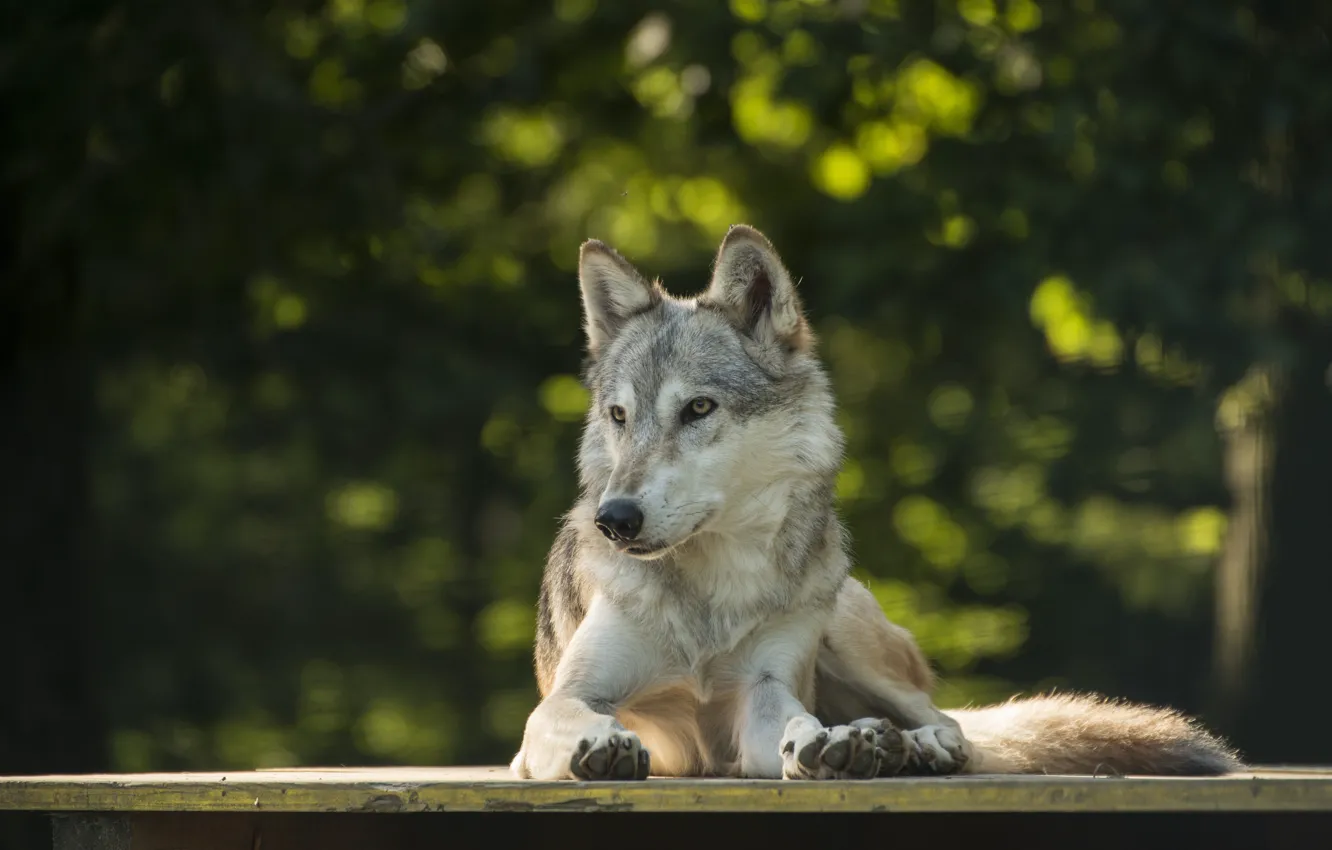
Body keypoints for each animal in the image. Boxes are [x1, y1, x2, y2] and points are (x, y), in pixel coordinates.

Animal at [509, 224, 1243, 781]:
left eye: (697, 409)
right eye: (620, 416)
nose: (614, 520)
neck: (712, 597)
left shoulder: (760, 694)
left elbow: (797, 719)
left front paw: (828, 746)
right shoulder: (564, 704)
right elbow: (571, 717)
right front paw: (601, 744)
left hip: (844, 633)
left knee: (951, 725)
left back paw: (910, 746)